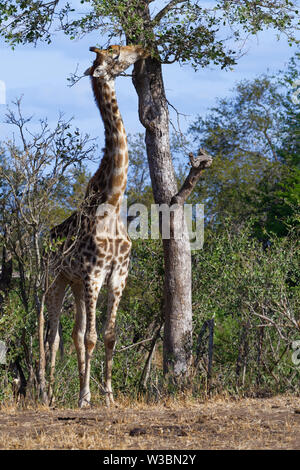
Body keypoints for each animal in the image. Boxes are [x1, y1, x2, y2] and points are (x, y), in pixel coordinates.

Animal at [45, 45, 149, 408]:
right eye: (116, 53)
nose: (142, 49)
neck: (114, 201)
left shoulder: (118, 273)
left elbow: (107, 335)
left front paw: (108, 396)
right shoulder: (93, 274)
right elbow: (90, 337)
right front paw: (86, 397)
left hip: (77, 285)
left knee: (74, 334)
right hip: (57, 279)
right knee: (53, 336)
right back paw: (48, 395)